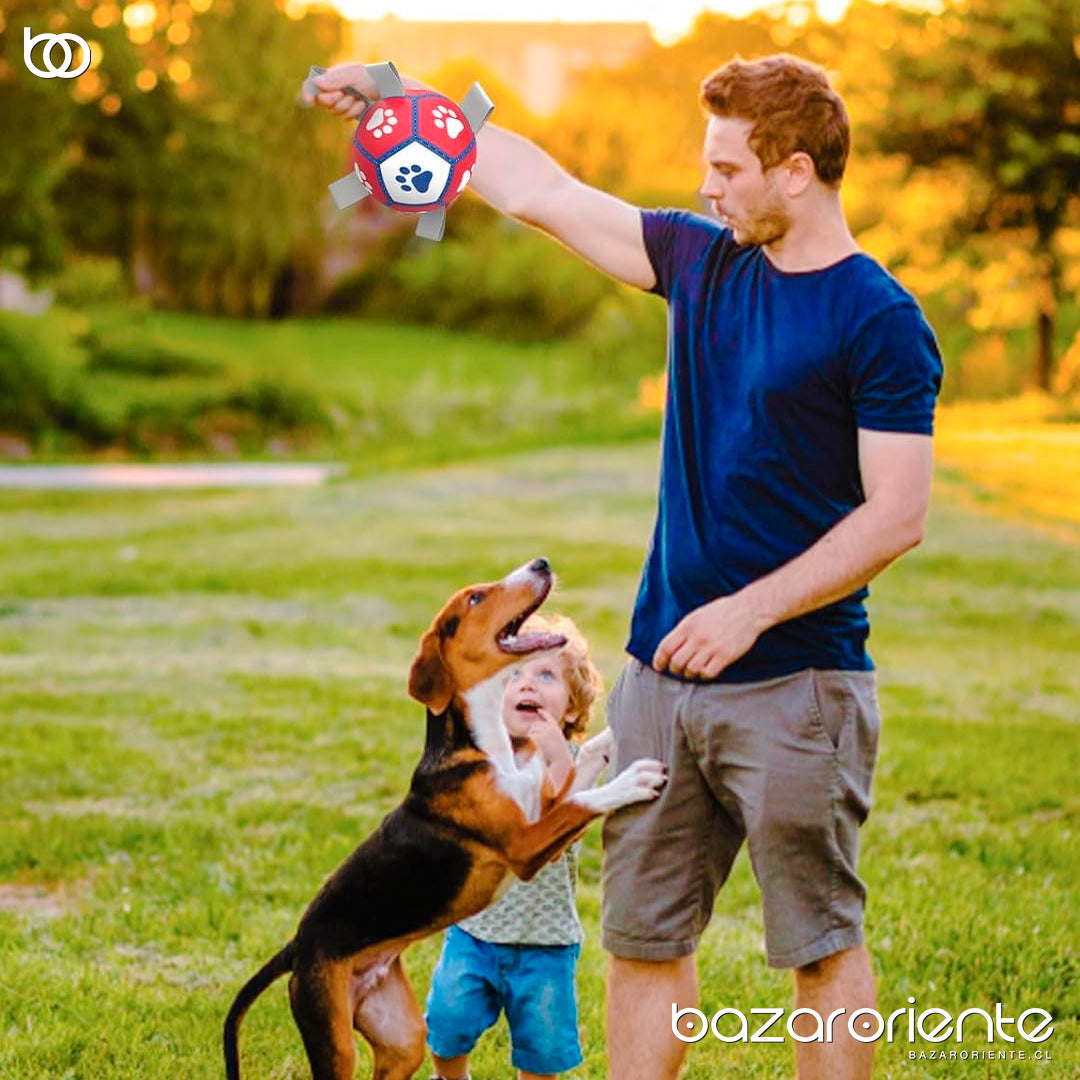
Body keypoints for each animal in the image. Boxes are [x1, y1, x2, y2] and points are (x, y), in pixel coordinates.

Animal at [224, 561, 665, 1075]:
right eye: (475, 598)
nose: (541, 563)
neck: (483, 746)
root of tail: (298, 945)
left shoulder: (541, 803)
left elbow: (587, 758)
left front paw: (615, 730)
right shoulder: (525, 846)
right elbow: (585, 801)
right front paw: (631, 781)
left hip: (402, 1037)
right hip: (333, 1040)